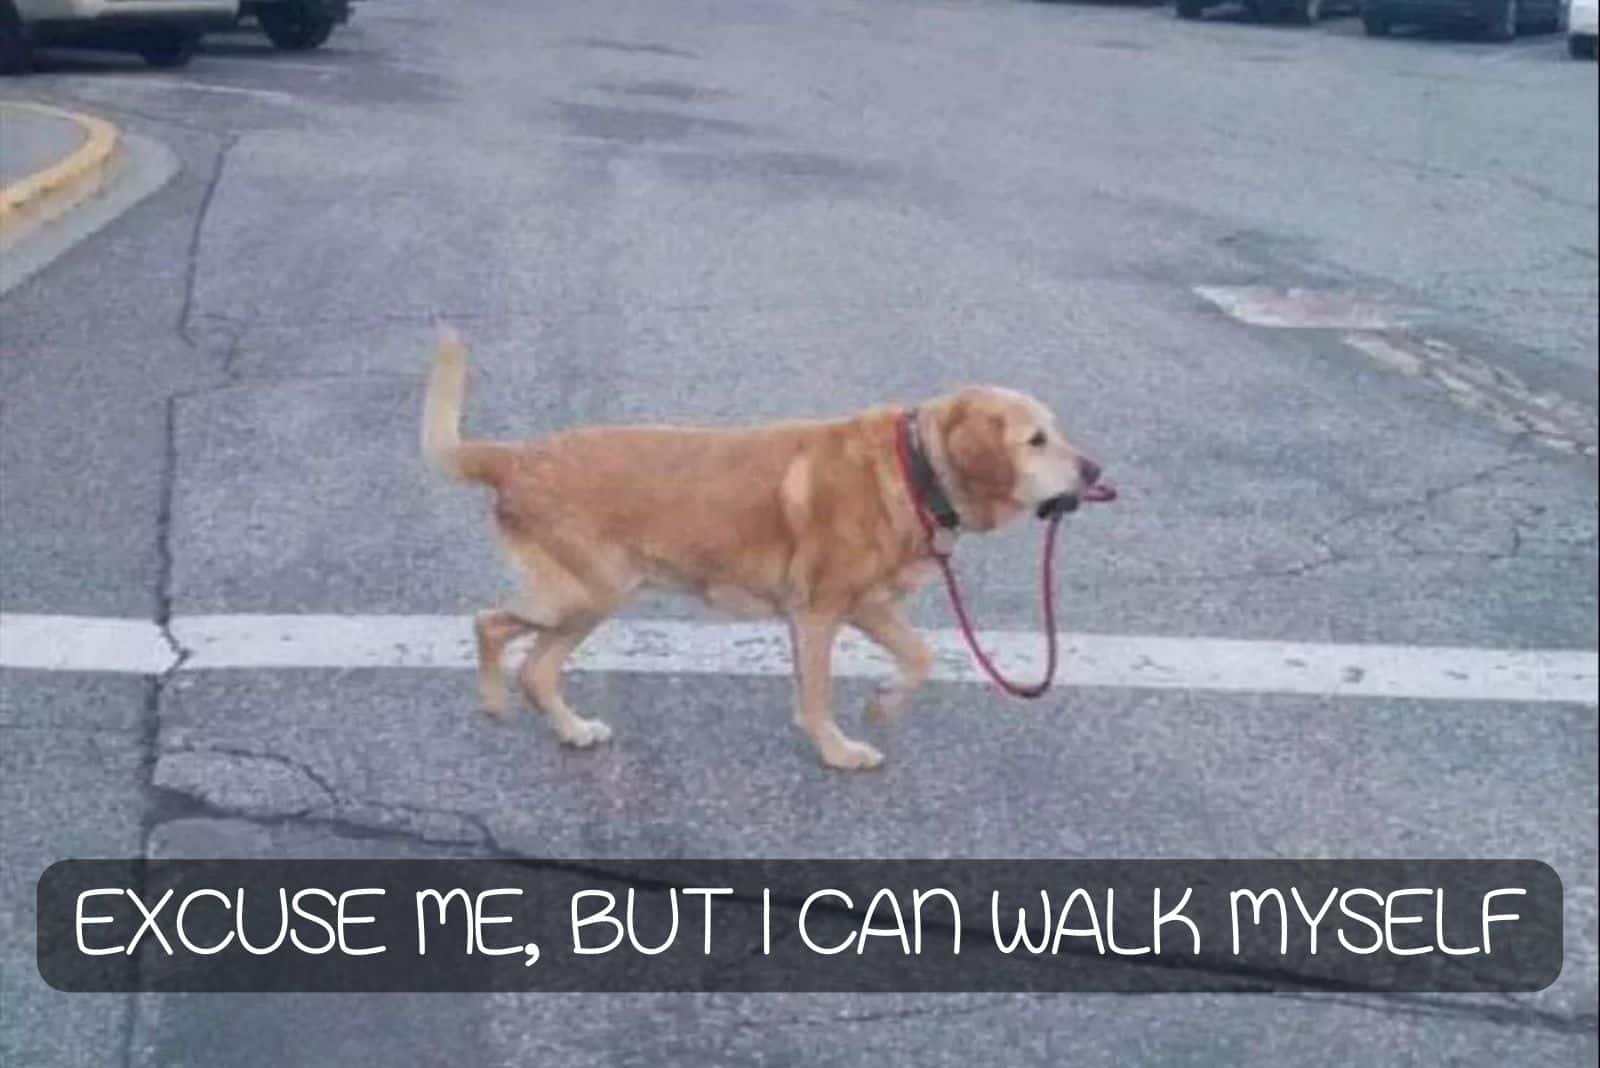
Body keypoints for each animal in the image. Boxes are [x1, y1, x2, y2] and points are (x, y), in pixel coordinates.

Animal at [419, 329, 1107, 770]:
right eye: (1036, 440)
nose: (1096, 471)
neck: (916, 468)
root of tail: (517, 457)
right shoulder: (819, 613)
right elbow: (819, 695)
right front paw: (838, 752)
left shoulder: (870, 608)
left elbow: (920, 657)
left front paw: (885, 703)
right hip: (585, 594)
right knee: (489, 626)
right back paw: (493, 702)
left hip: (591, 600)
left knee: (535, 668)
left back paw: (570, 729)